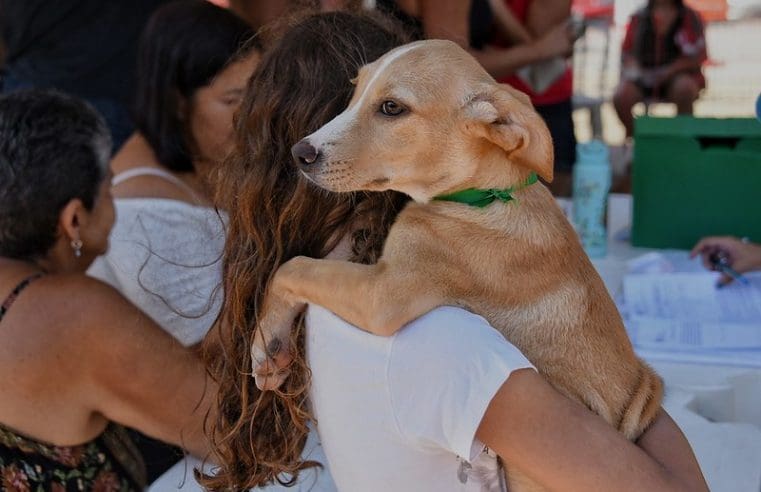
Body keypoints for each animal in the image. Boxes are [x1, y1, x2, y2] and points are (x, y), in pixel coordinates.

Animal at [254, 40, 660, 490]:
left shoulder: (384, 294)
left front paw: (264, 341)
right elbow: (312, 262)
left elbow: (292, 266)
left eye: (391, 108)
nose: (300, 153)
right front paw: (273, 342)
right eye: (354, 90)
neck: (485, 197)